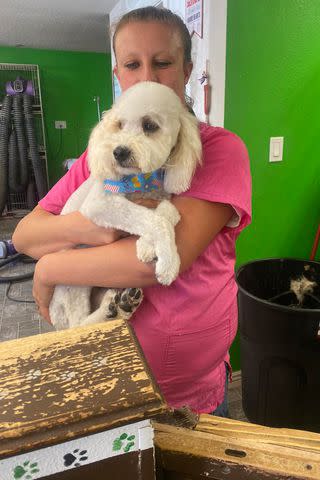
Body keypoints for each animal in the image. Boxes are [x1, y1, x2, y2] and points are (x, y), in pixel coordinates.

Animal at [49, 81, 201, 330]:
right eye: (119, 125)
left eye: (150, 126)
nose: (119, 151)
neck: (141, 180)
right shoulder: (101, 203)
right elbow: (155, 220)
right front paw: (169, 262)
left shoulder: (163, 198)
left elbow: (167, 214)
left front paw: (146, 246)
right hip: (74, 280)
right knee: (78, 323)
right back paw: (106, 311)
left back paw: (120, 305)